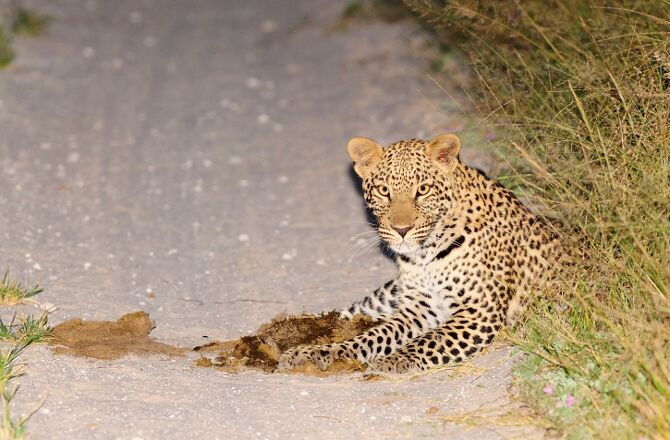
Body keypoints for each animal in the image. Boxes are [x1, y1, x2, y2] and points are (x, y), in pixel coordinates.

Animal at [276, 132, 564, 372]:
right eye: (384, 191)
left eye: (423, 190)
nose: (401, 229)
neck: (426, 254)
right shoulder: (416, 308)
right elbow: (372, 337)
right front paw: (324, 352)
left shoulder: (478, 311)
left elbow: (428, 340)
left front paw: (392, 360)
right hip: (391, 291)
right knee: (351, 311)